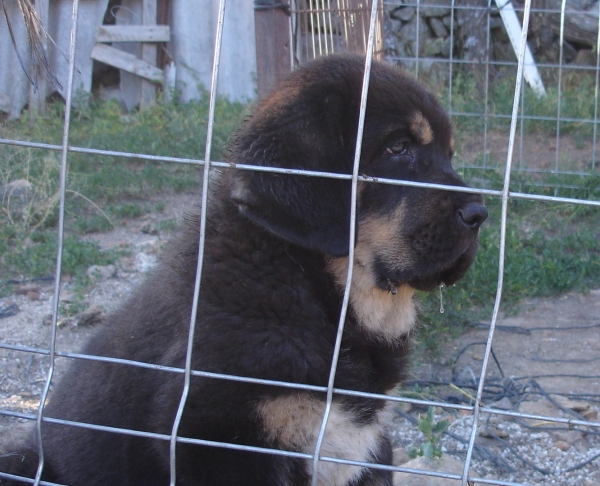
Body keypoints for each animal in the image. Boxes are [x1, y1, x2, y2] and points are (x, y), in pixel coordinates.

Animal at [0, 55, 488, 484]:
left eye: (448, 154)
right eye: (398, 148)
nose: (480, 214)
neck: (317, 296)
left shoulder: (368, 445)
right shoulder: (219, 441)